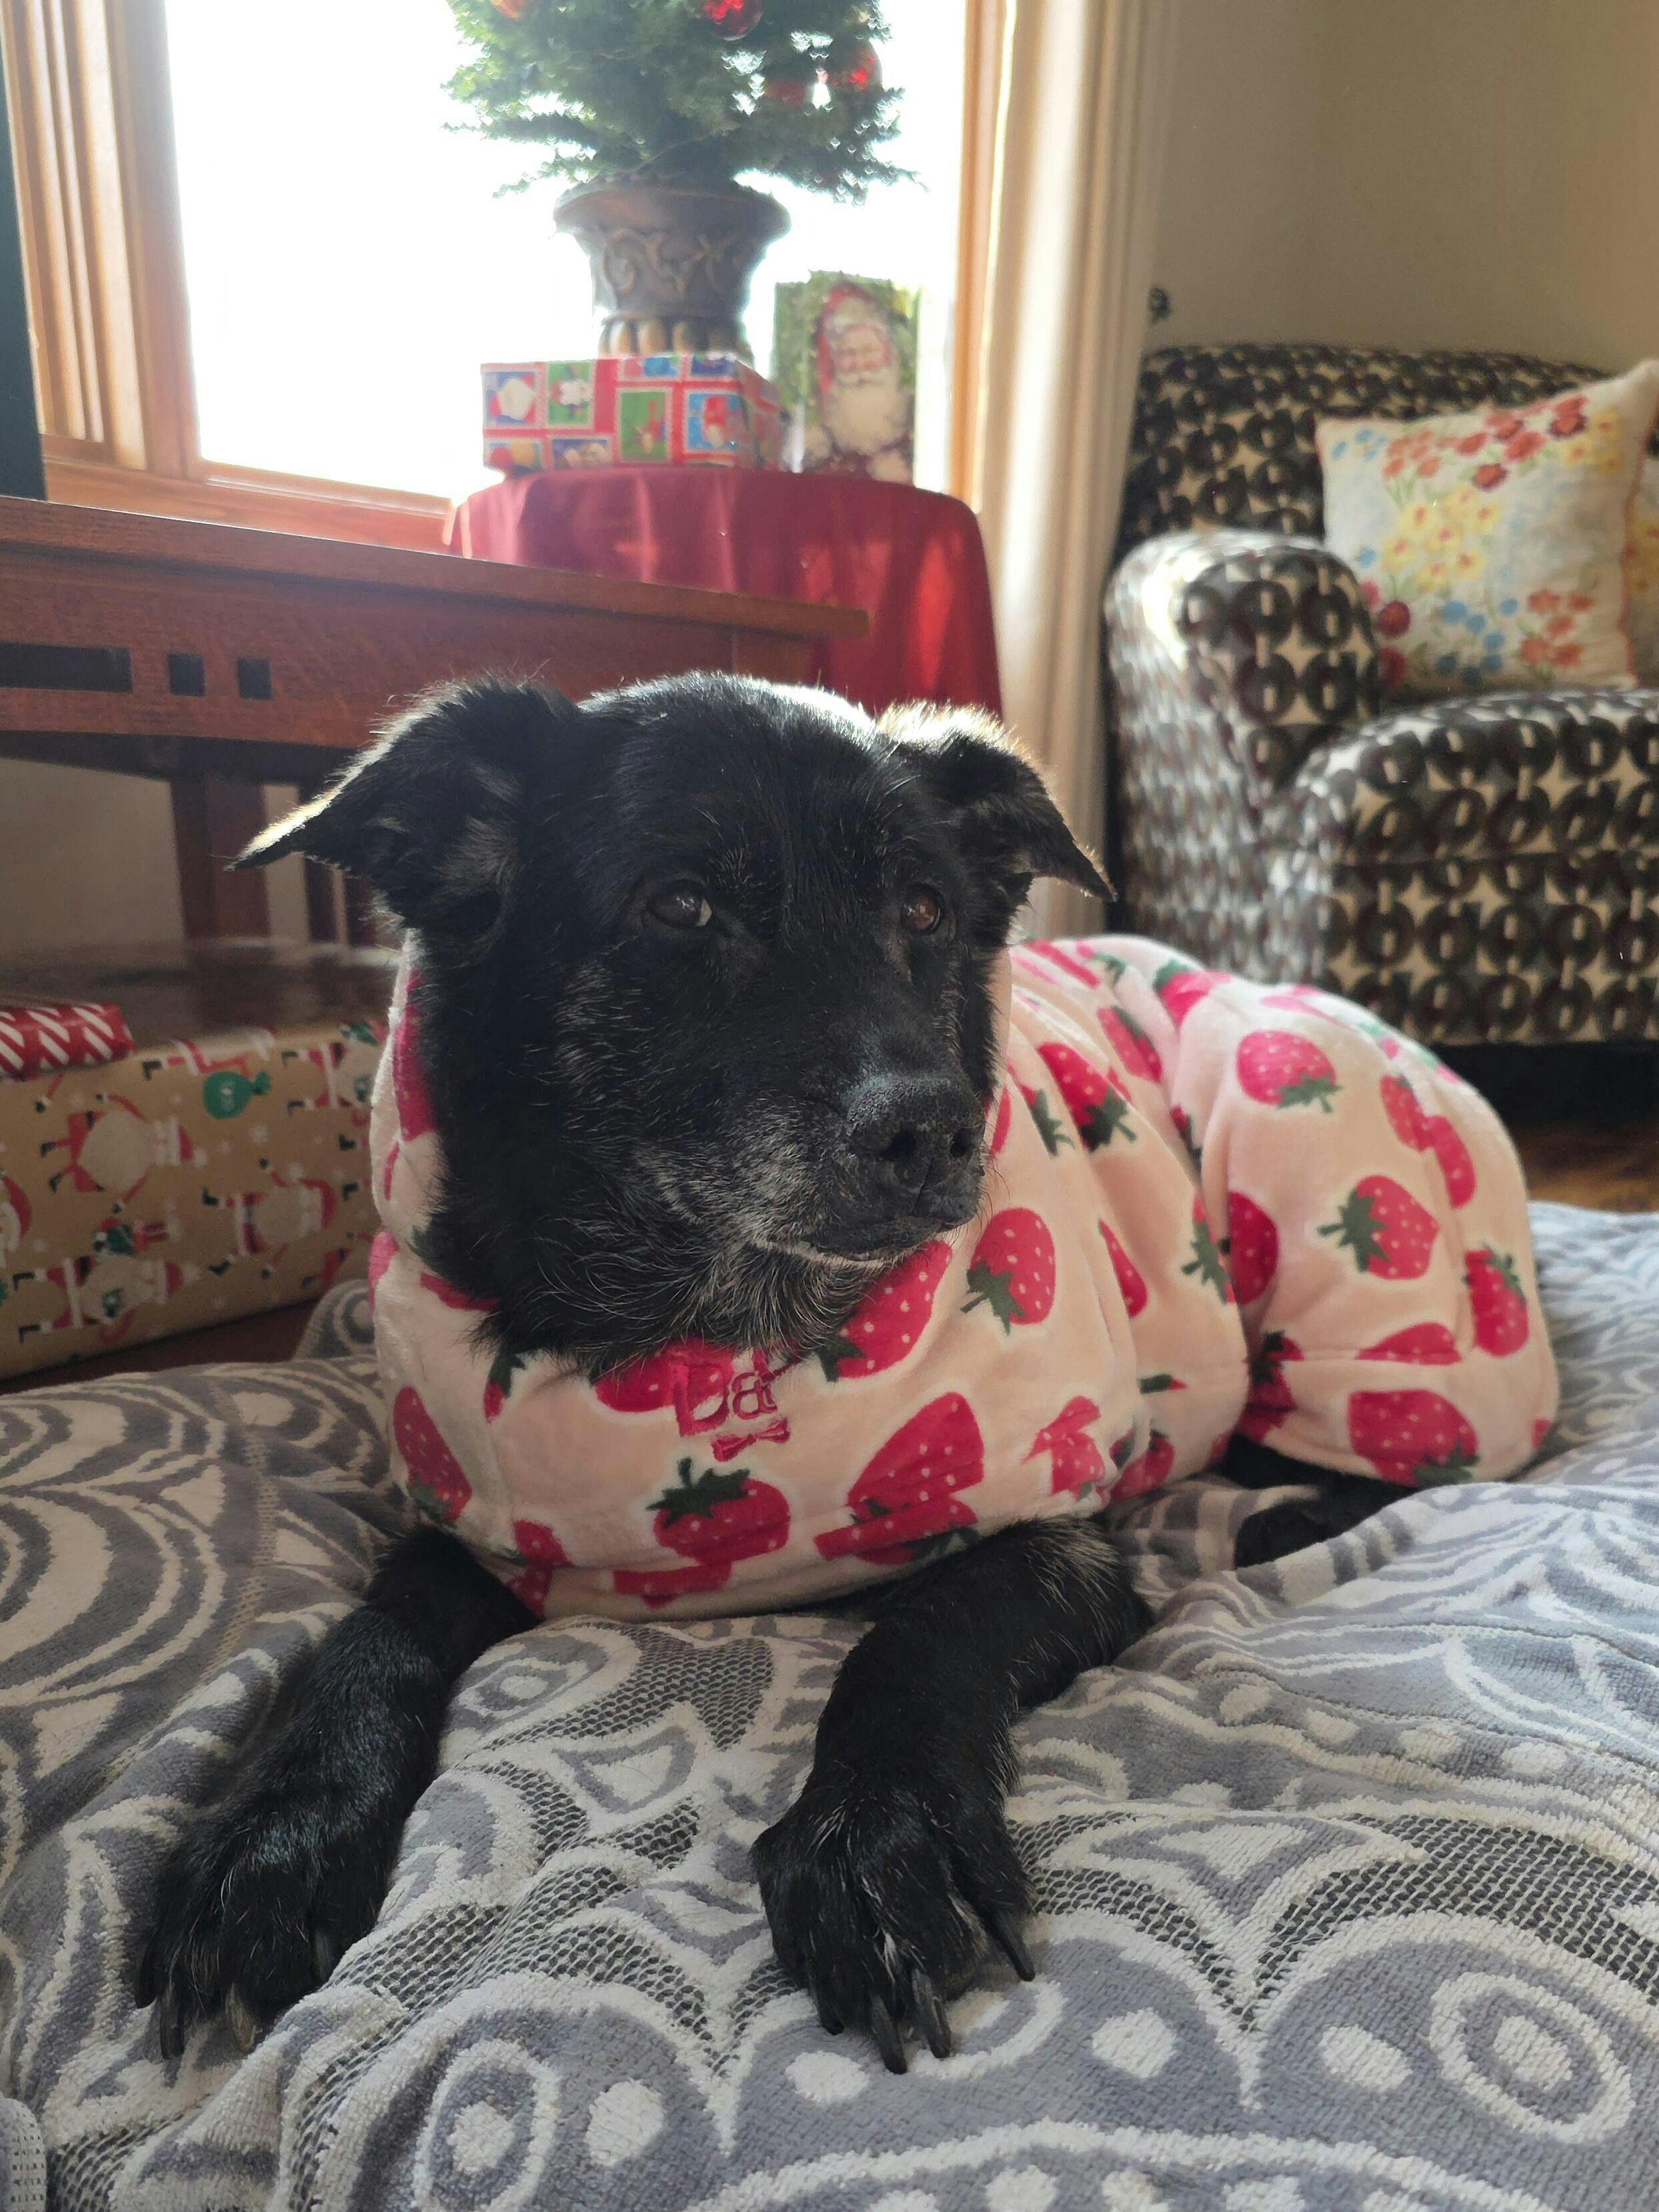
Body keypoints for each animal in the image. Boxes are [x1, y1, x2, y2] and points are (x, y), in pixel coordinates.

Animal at [135, 673, 1556, 2074]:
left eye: (922, 908)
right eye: (680, 904)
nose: (933, 1131)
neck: (719, 1336)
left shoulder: (1054, 1529)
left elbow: (918, 1635)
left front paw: (877, 1835)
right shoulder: (474, 1518)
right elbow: (367, 1628)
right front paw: (277, 1830)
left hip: (1304, 1177)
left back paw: (1271, 1509)